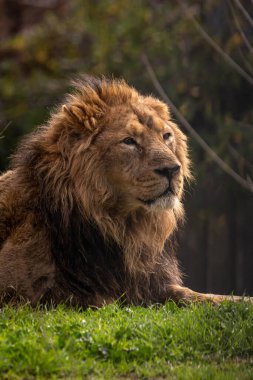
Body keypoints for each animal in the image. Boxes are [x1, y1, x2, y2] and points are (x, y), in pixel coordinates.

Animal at [0, 76, 249, 306]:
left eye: (166, 136)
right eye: (129, 141)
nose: (172, 169)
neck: (124, 227)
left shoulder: (153, 282)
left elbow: (201, 296)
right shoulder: (19, 289)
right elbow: (95, 298)